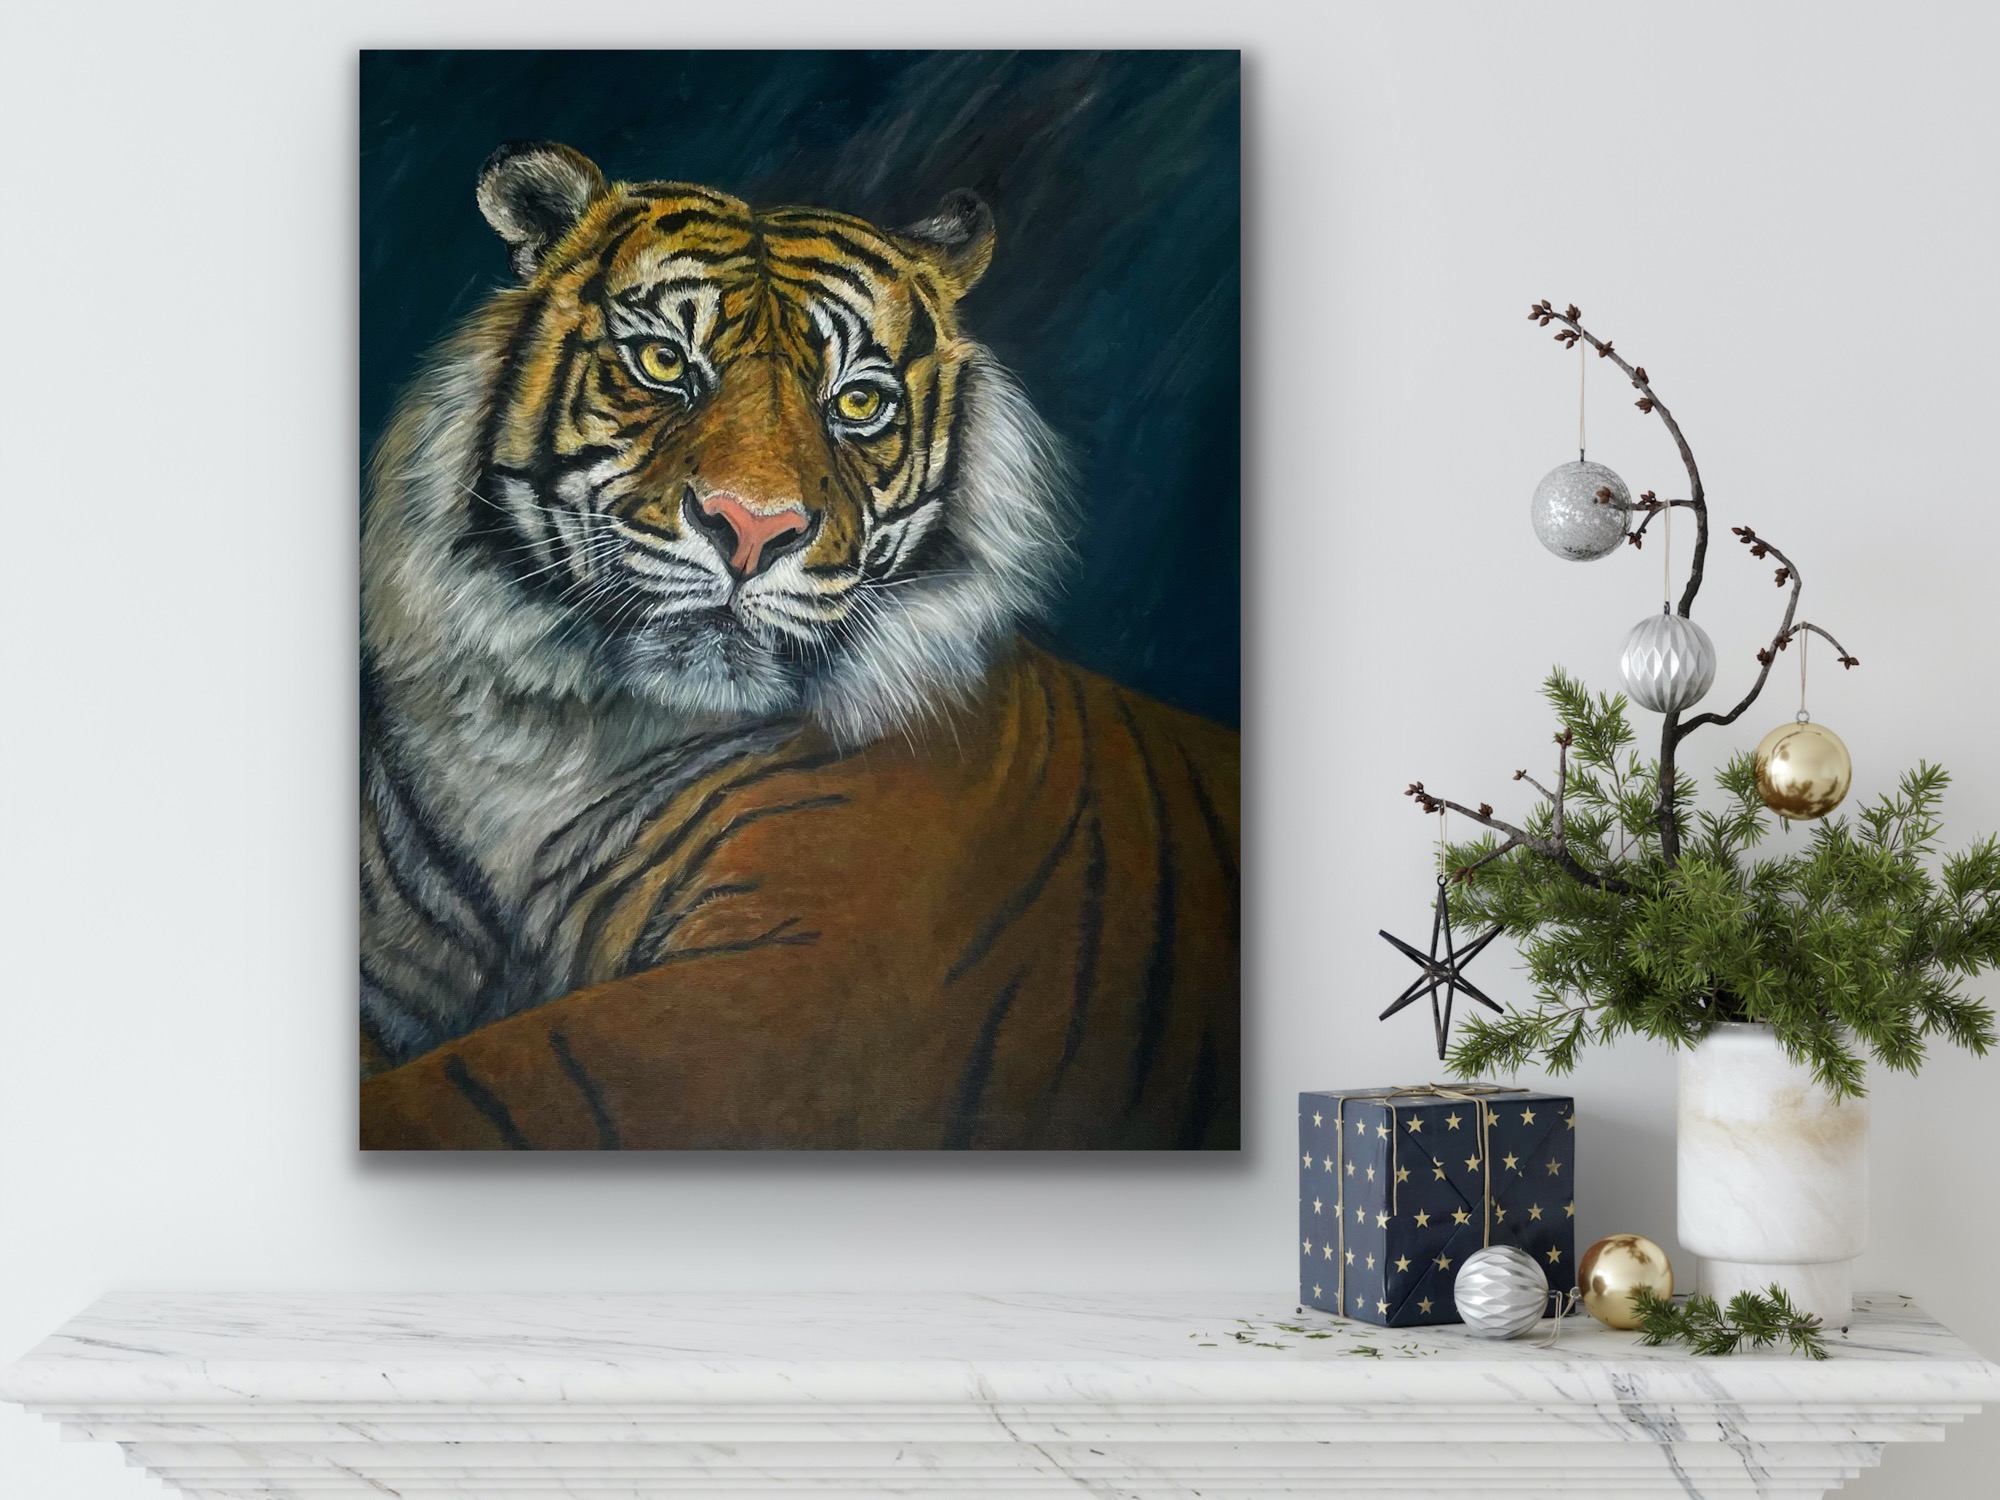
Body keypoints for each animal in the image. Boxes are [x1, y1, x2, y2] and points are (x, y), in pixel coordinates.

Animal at [360, 142, 1239, 1149]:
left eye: (856, 401)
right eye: (663, 361)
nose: (751, 529)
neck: (548, 738)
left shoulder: (796, 990)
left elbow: (487, 1092)